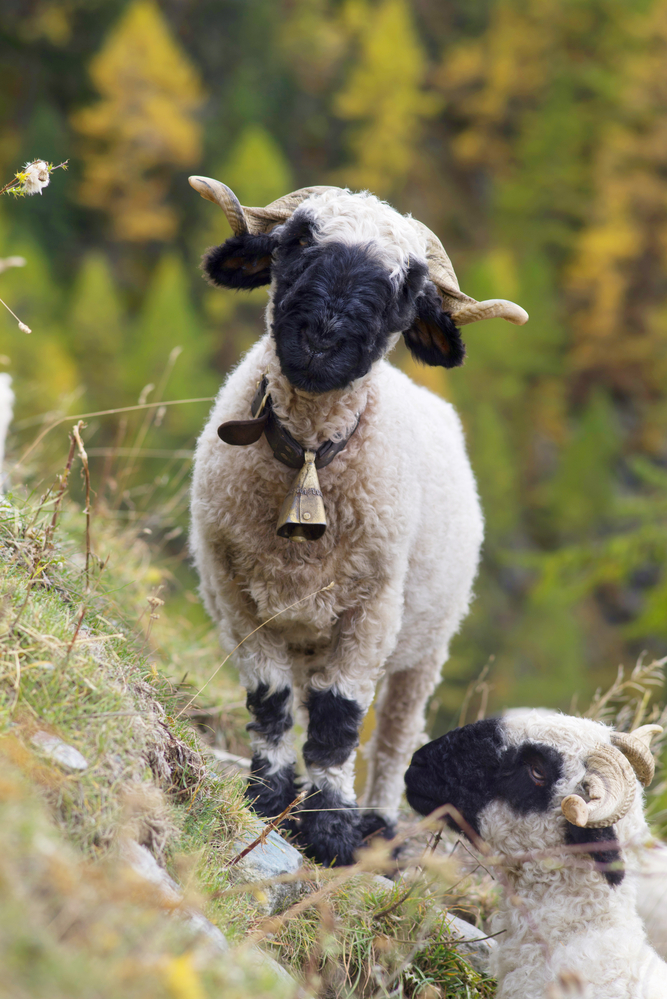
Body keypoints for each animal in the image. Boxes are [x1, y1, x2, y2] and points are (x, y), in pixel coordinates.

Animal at [188, 177, 528, 867]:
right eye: (296, 240)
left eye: (407, 286)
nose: (323, 336)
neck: (311, 457)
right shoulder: (233, 592)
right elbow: (269, 700)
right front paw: (267, 797)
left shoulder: (373, 612)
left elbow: (338, 719)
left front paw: (330, 831)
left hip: (427, 644)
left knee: (395, 735)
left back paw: (378, 823)